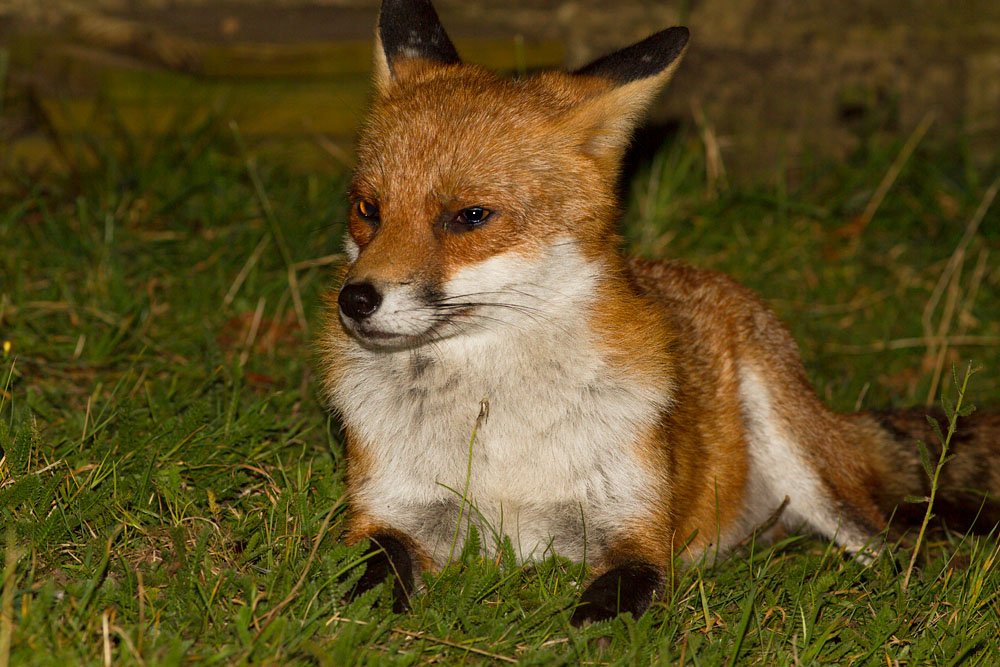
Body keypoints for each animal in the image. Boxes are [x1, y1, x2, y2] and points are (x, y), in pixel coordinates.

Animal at [320, 0, 1000, 625]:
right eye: (367, 208)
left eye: (470, 216)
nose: (356, 300)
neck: (498, 427)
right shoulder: (390, 513)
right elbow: (366, 583)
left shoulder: (637, 533)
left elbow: (601, 611)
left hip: (812, 469)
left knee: (893, 549)